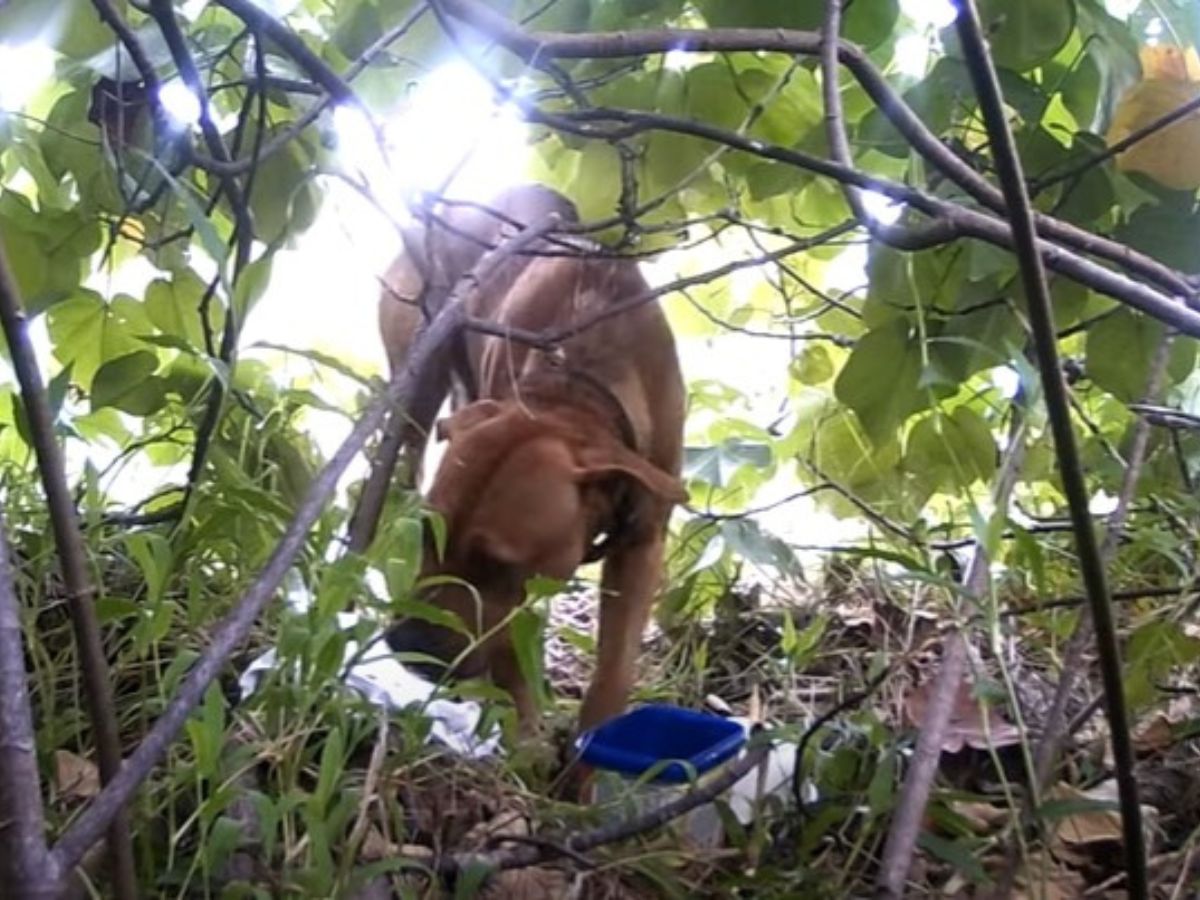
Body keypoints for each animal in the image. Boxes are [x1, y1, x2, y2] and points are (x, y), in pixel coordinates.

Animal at [379, 187, 691, 734]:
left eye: (499, 565)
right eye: (428, 537)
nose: (407, 643)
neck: (577, 389)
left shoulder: (642, 540)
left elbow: (613, 672)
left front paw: (584, 752)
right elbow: (509, 657)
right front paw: (523, 736)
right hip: (418, 377)